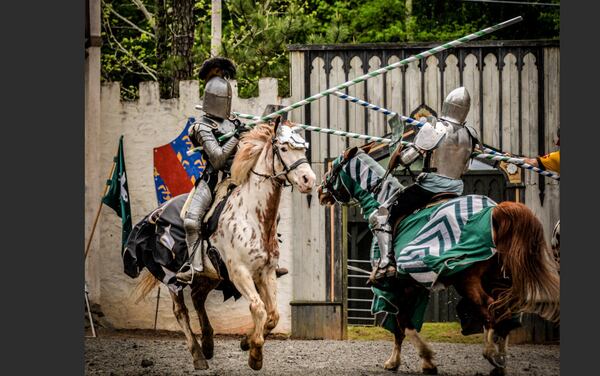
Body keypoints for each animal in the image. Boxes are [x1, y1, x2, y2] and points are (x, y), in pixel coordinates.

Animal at [134, 119, 316, 370]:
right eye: (284, 148)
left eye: (303, 149)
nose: (310, 180)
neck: (251, 215)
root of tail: (156, 213)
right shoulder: (240, 273)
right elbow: (258, 308)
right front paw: (255, 354)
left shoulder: (266, 272)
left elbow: (273, 315)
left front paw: (246, 342)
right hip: (171, 277)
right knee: (181, 311)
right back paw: (198, 355)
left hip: (210, 275)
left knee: (198, 297)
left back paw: (208, 343)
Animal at [316, 145, 560, 374]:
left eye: (335, 168)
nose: (320, 191)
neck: (381, 199)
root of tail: (495, 211)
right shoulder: (412, 287)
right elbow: (402, 327)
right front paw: (401, 361)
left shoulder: (396, 287)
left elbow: (403, 324)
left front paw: (423, 359)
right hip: (499, 278)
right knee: (506, 311)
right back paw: (500, 359)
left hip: (467, 279)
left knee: (490, 308)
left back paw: (492, 354)